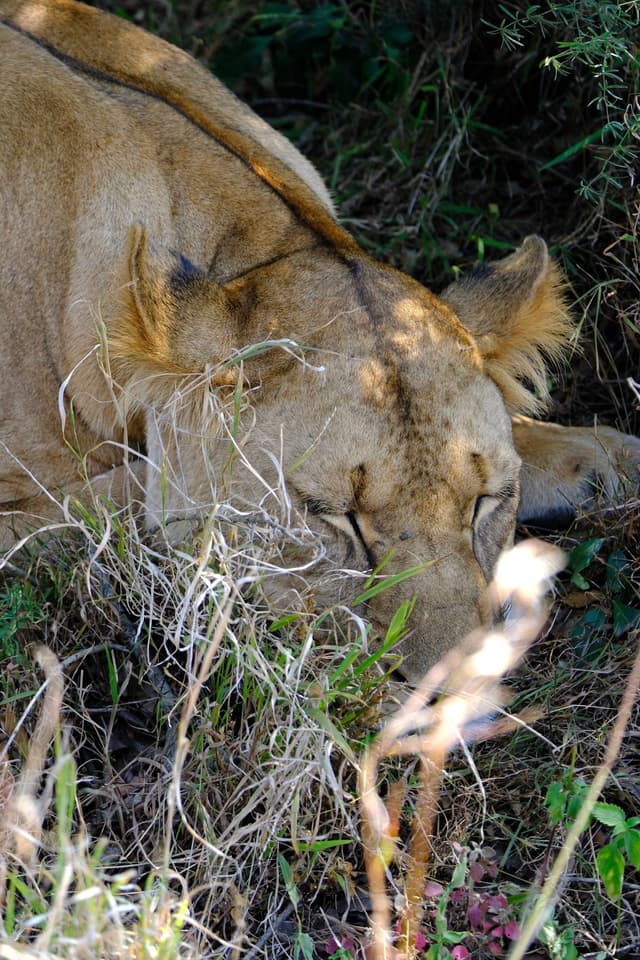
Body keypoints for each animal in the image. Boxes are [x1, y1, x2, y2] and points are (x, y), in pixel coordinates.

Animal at [0, 0, 638, 679]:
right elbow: (125, 502)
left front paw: (605, 457)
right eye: (333, 518)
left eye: (485, 502)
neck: (267, 251)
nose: (449, 691)